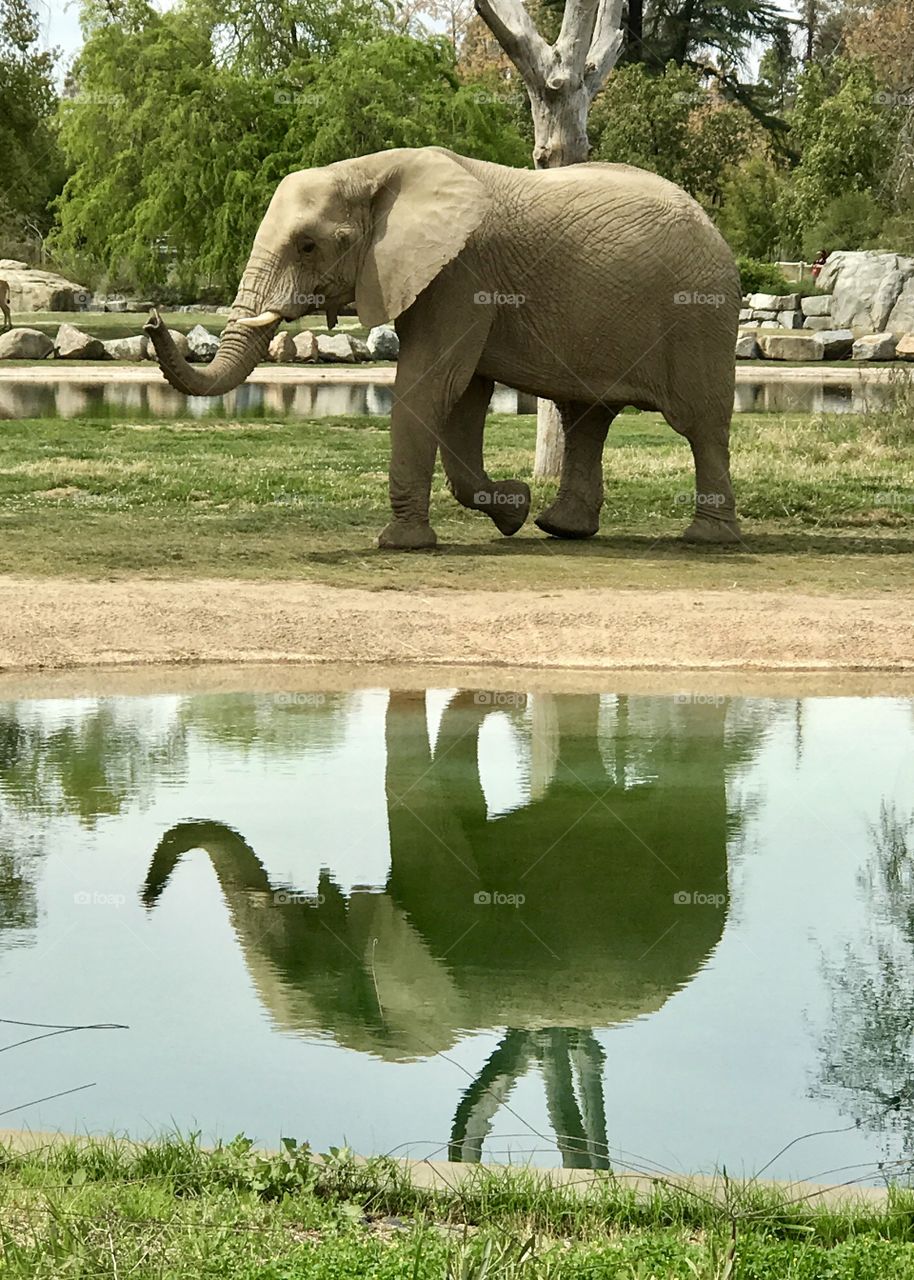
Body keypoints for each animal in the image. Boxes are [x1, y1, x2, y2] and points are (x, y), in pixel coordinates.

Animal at [144, 147, 742, 548]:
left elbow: (431, 383)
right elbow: (464, 396)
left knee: (699, 425)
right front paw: (513, 510)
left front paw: (400, 544)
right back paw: (560, 529)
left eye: (308, 246)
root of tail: (714, 226)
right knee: (585, 418)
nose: (152, 319)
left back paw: (706, 539)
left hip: (700, 316)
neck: (373, 170)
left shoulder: (459, 273)